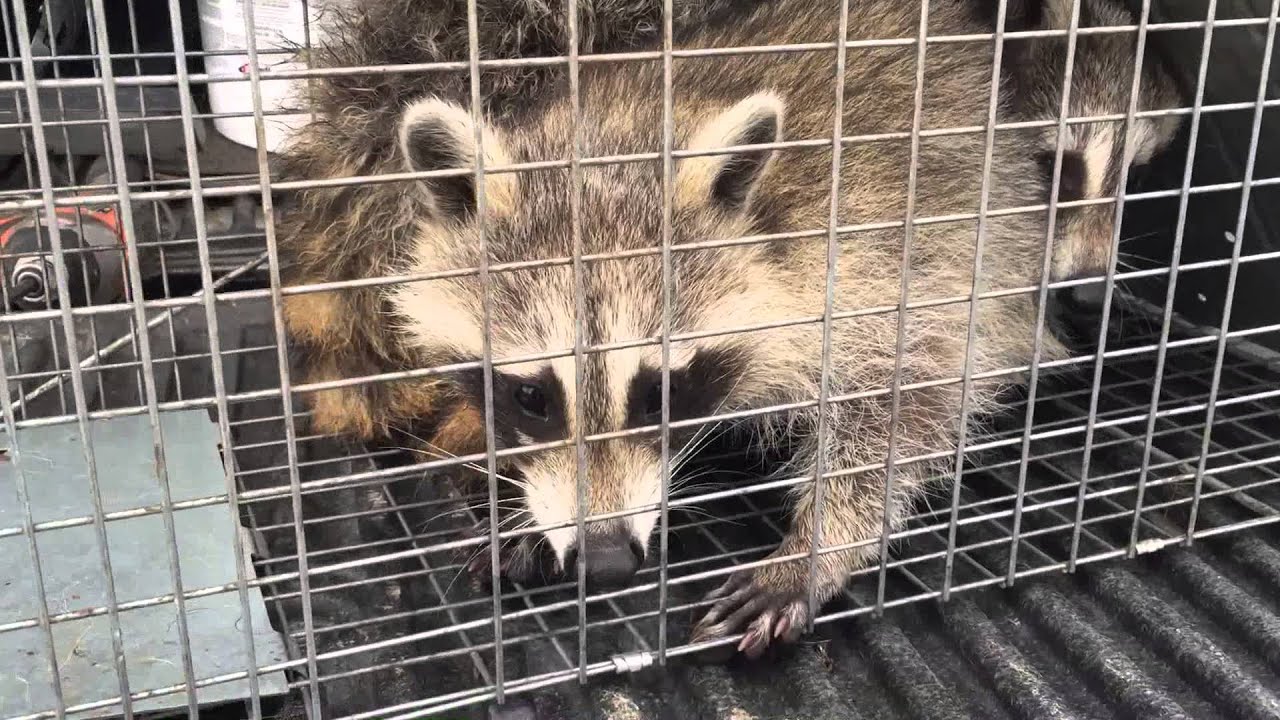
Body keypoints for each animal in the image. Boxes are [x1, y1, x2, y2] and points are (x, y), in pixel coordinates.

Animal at [383, 0, 1072, 656]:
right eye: (532, 396)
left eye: (658, 393)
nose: (606, 562)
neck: (619, 130)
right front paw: (519, 506)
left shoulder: (877, 260)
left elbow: (908, 400)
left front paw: (816, 547)